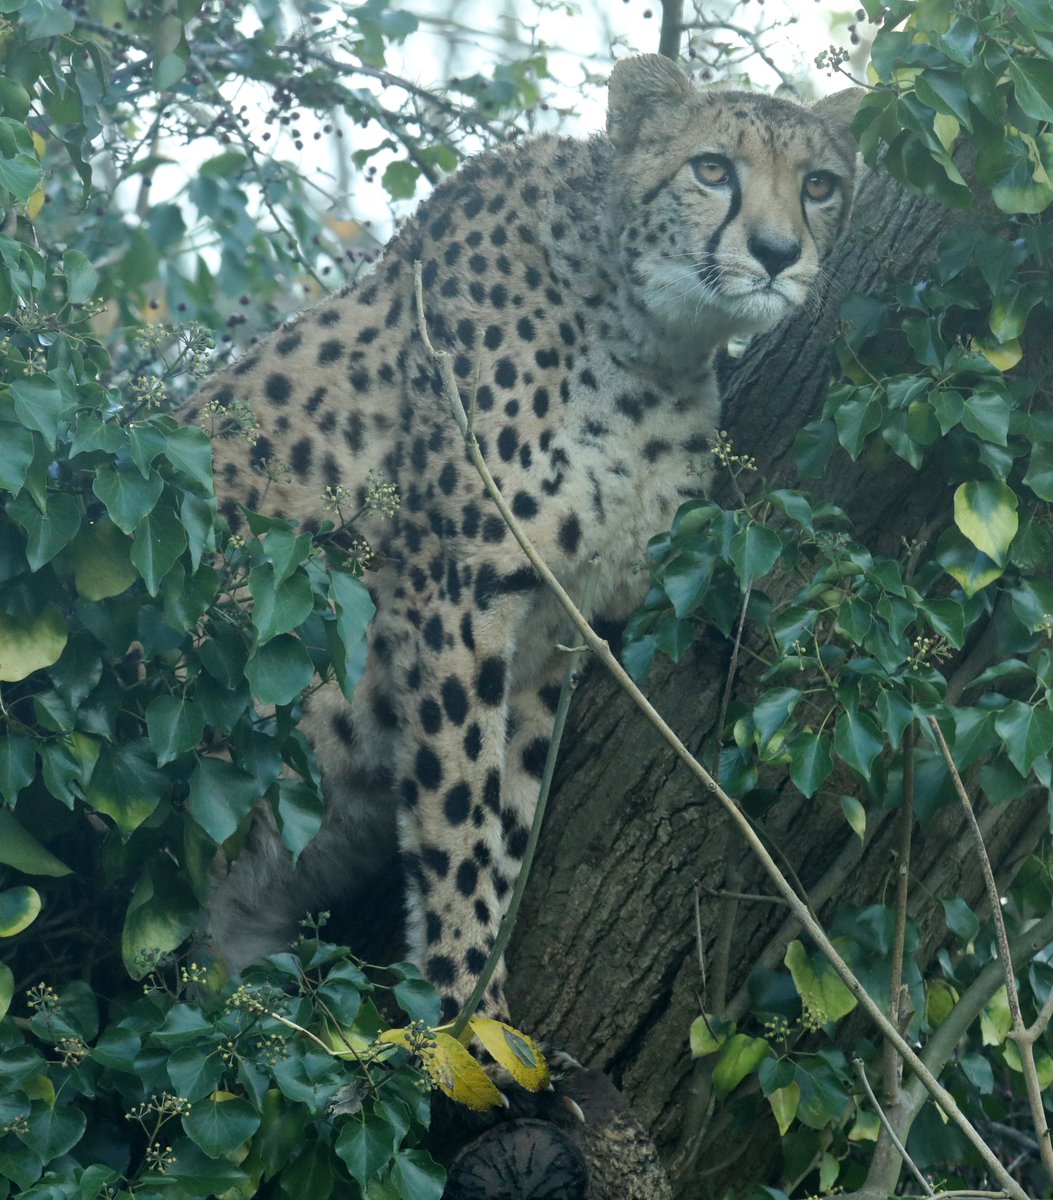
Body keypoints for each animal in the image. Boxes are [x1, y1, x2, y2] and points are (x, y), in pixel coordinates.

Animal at [189, 53, 858, 1024]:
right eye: (711, 169)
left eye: (820, 186)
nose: (777, 254)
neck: (646, 336)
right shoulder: (459, 592)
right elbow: (457, 811)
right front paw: (469, 1022)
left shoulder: (558, 618)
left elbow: (504, 809)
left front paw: (486, 1003)